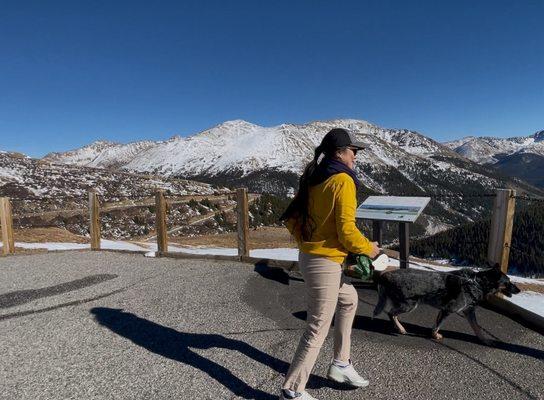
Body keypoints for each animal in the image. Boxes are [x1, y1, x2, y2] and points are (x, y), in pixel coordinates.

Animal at [372, 264, 520, 346]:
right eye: (508, 282)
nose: (519, 290)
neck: (477, 283)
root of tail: (385, 275)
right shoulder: (448, 310)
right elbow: (437, 326)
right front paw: (435, 336)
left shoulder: (466, 312)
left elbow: (477, 328)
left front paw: (485, 341)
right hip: (409, 305)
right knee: (391, 313)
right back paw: (401, 328)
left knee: (392, 314)